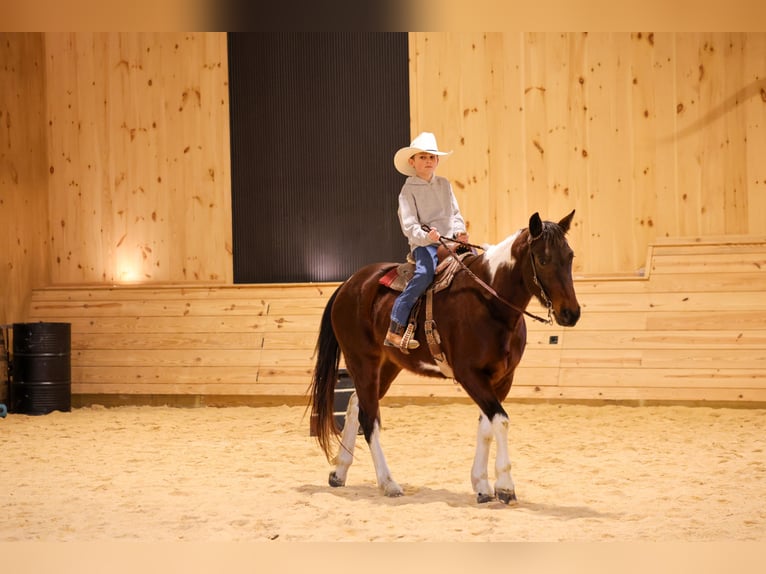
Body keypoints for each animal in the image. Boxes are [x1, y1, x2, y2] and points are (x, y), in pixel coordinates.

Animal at [308, 210, 580, 504]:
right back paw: (388, 483)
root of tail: (348, 285)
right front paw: (505, 486)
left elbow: (487, 426)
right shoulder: (469, 374)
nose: (571, 313)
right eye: (543, 259)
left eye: (570, 256)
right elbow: (501, 421)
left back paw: (339, 472)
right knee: (369, 420)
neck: (489, 302)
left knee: (356, 405)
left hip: (387, 365)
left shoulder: (502, 379)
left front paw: (482, 484)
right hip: (362, 361)